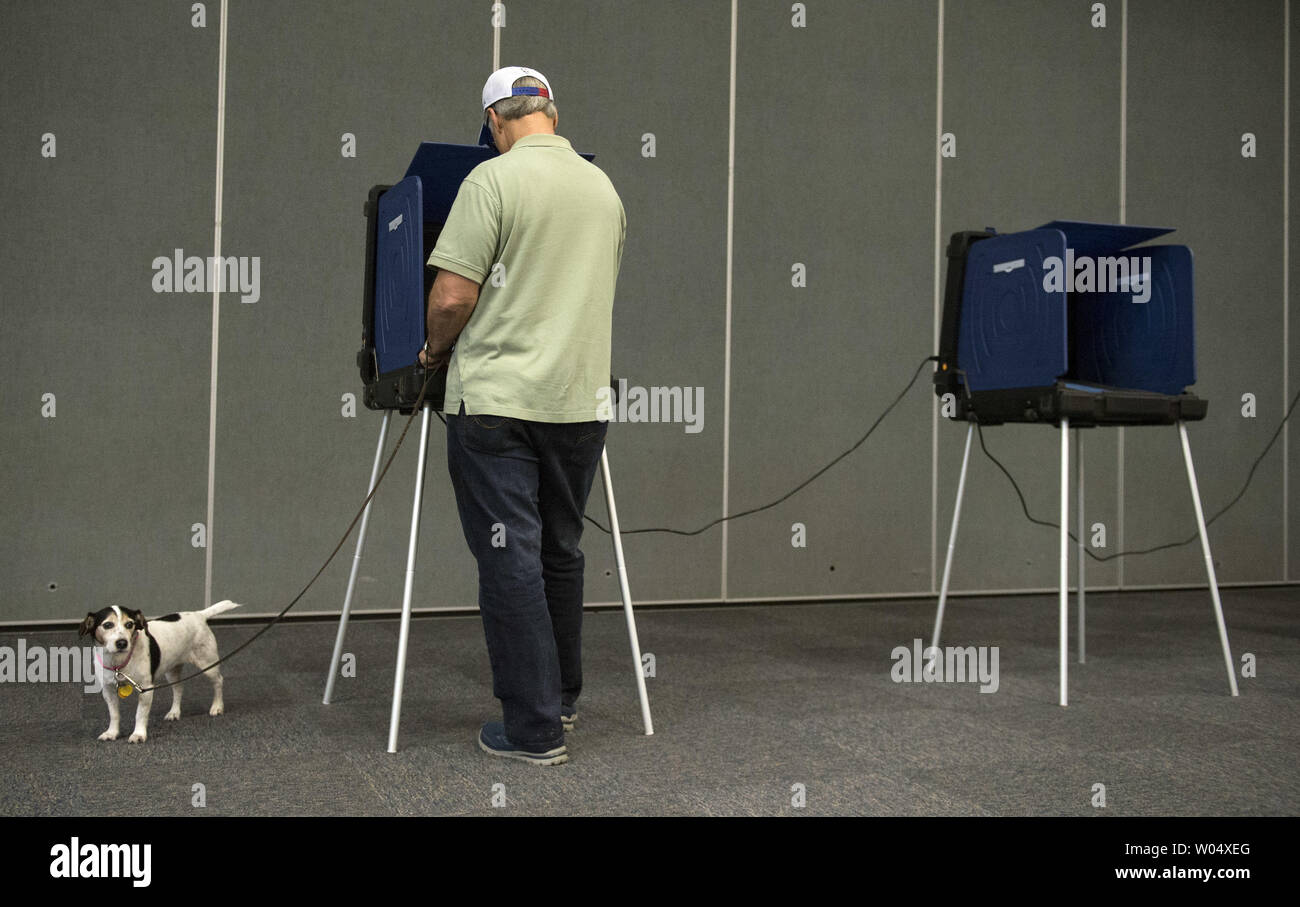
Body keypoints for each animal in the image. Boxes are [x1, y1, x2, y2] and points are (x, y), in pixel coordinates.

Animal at [78, 600, 240, 743]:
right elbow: (114, 714)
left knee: (218, 681)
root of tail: (199, 615)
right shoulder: (108, 690)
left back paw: (217, 707)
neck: (118, 662)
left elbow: (140, 714)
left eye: (129, 624)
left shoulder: (146, 689)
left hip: (208, 664)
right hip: (172, 670)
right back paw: (174, 712)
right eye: (107, 625)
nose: (122, 643)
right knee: (178, 688)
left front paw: (138, 734)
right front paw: (112, 733)